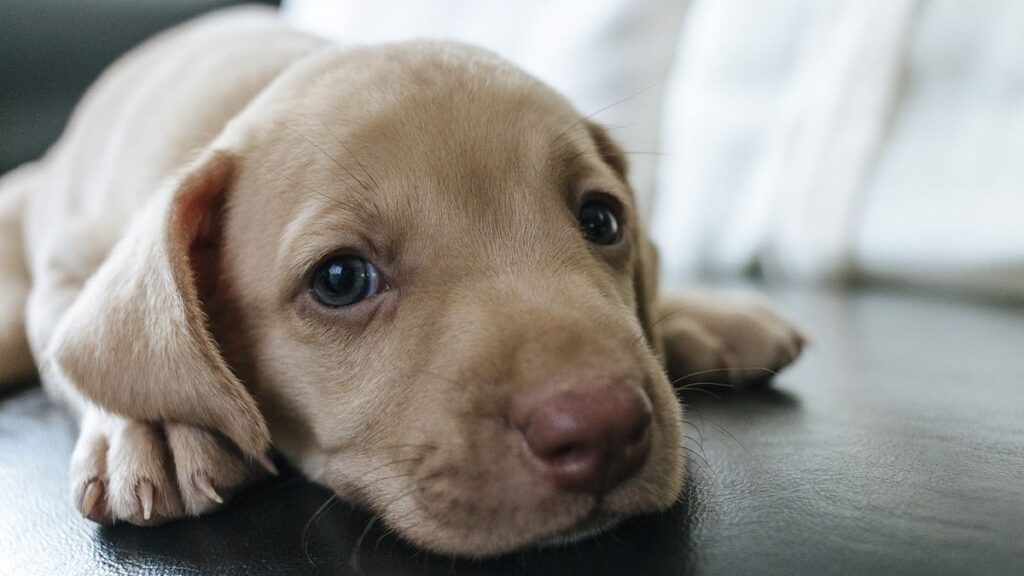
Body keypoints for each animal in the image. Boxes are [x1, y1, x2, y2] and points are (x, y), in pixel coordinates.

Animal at [0, 6, 802, 557]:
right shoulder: (68, 265)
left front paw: (694, 315)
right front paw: (157, 426)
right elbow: (91, 350)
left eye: (602, 220)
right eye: (340, 278)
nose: (604, 428)